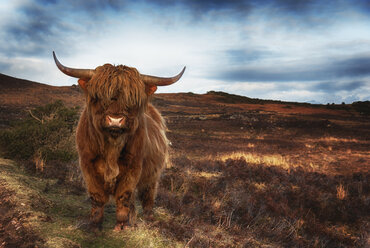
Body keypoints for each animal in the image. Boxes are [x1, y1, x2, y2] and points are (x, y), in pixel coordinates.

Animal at [52, 51, 185, 232]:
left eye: (133, 100)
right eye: (98, 97)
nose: (115, 120)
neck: (111, 147)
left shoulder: (133, 167)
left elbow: (124, 196)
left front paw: (121, 226)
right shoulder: (87, 165)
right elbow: (97, 197)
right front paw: (95, 225)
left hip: (152, 176)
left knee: (148, 196)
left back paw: (148, 219)